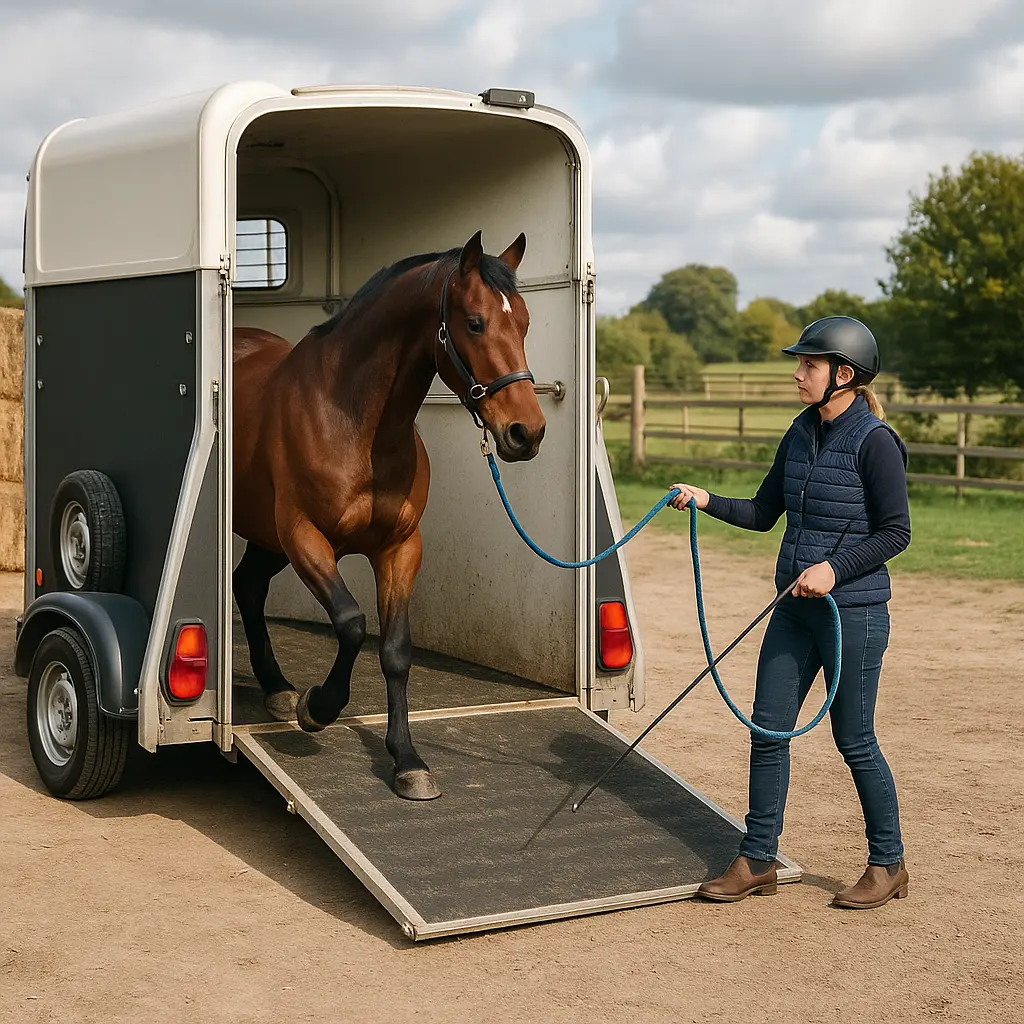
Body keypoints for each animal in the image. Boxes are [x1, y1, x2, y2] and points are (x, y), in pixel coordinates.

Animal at [231, 230, 546, 800]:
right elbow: (352, 624)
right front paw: (319, 708)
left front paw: (407, 761)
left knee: (248, 585)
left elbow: (396, 649)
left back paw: (277, 687)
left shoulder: (399, 548)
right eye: (475, 322)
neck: (352, 419)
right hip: (275, 538)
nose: (525, 432)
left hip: (267, 539)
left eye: (525, 322)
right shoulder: (305, 537)